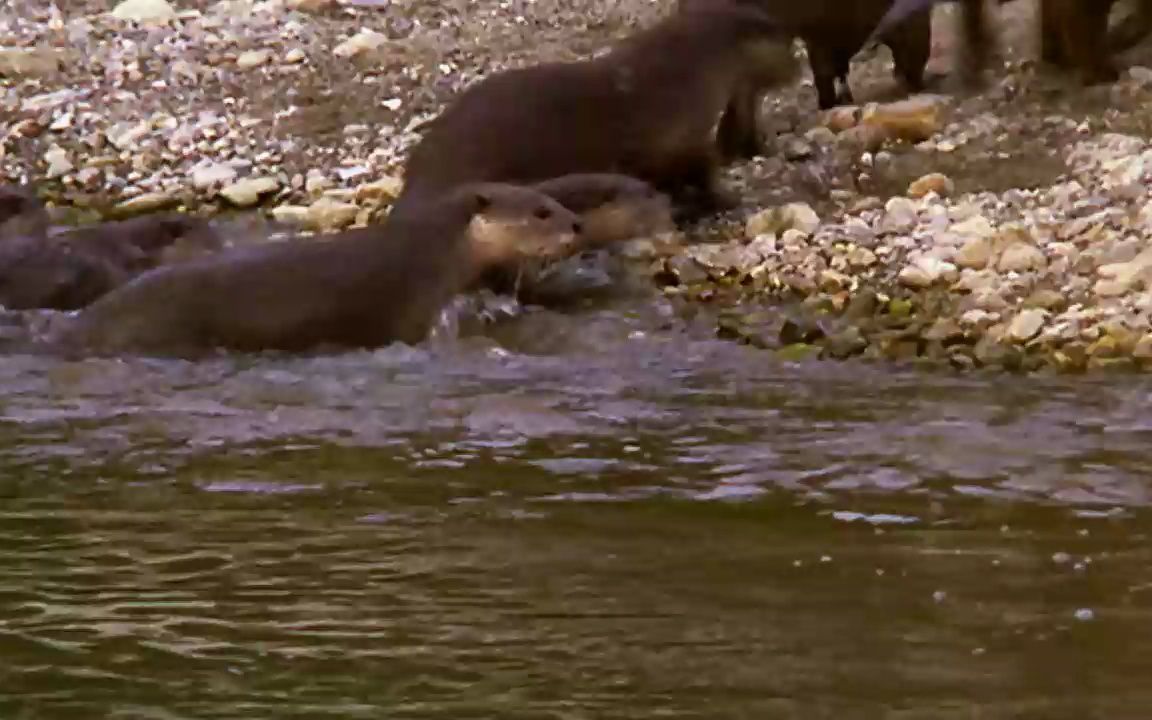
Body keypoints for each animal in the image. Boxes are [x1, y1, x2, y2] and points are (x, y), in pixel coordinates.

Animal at [391, 2, 797, 220]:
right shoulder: (680, 134)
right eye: (791, 49)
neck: (689, 69)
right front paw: (727, 199)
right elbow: (701, 167)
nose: (799, 71)